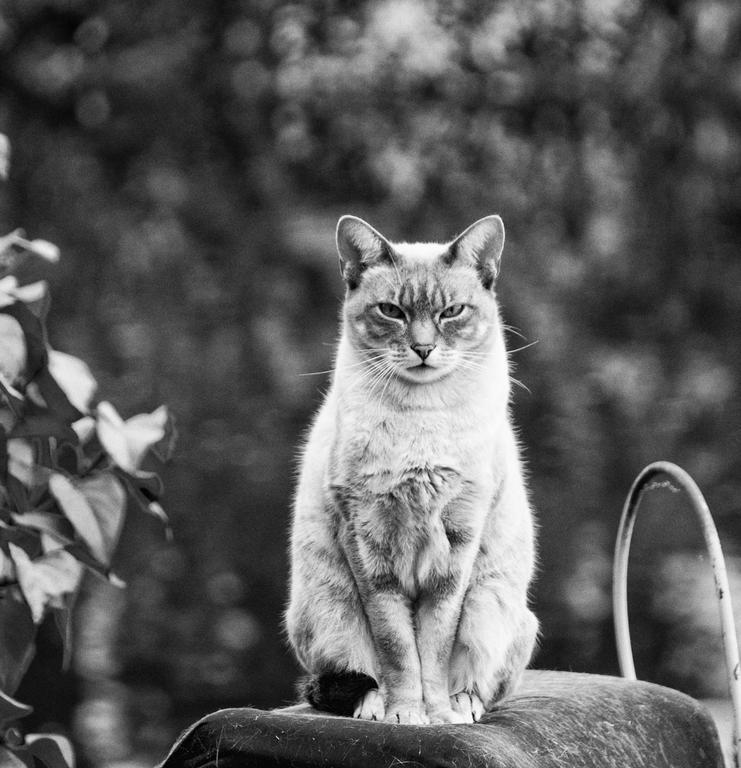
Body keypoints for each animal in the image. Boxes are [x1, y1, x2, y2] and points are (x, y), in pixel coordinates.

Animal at [284, 213, 536, 724]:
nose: (423, 349)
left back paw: (462, 706)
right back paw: (375, 706)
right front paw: (405, 713)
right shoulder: (368, 547)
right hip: (332, 608)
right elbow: (398, 648)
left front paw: (435, 715)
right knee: (354, 673)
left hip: (491, 604)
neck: (422, 419)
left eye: (452, 312)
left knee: (481, 680)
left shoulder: (457, 548)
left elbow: (434, 647)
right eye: (392, 311)